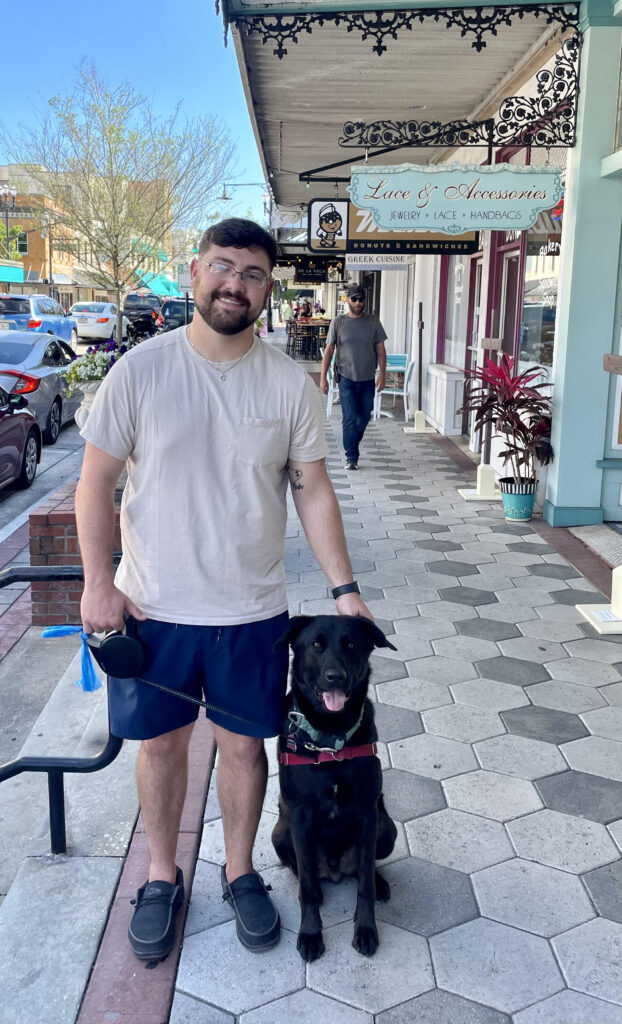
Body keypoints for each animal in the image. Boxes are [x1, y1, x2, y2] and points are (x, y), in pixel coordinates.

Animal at [272, 614, 399, 958]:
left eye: (351, 645)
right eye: (316, 644)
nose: (335, 677)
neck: (331, 740)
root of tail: (335, 869)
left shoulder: (368, 814)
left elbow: (364, 885)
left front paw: (366, 929)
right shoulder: (300, 817)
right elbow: (308, 888)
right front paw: (311, 933)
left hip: (387, 829)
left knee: (365, 868)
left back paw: (379, 882)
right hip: (281, 834)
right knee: (303, 872)